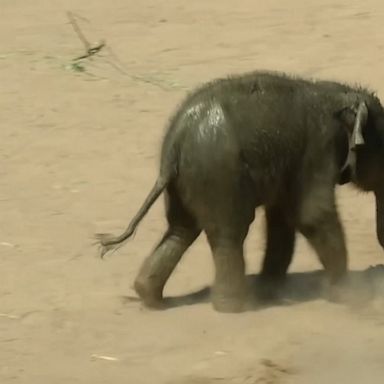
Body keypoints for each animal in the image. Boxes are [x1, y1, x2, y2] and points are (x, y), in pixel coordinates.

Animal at [97, 71, 384, 312]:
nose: (379, 264)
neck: (339, 93)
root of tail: (174, 144)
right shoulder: (318, 149)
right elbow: (312, 214)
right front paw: (351, 297)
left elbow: (282, 220)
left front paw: (269, 290)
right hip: (219, 174)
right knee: (229, 232)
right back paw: (234, 306)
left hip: (188, 181)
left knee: (181, 230)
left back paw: (150, 297)